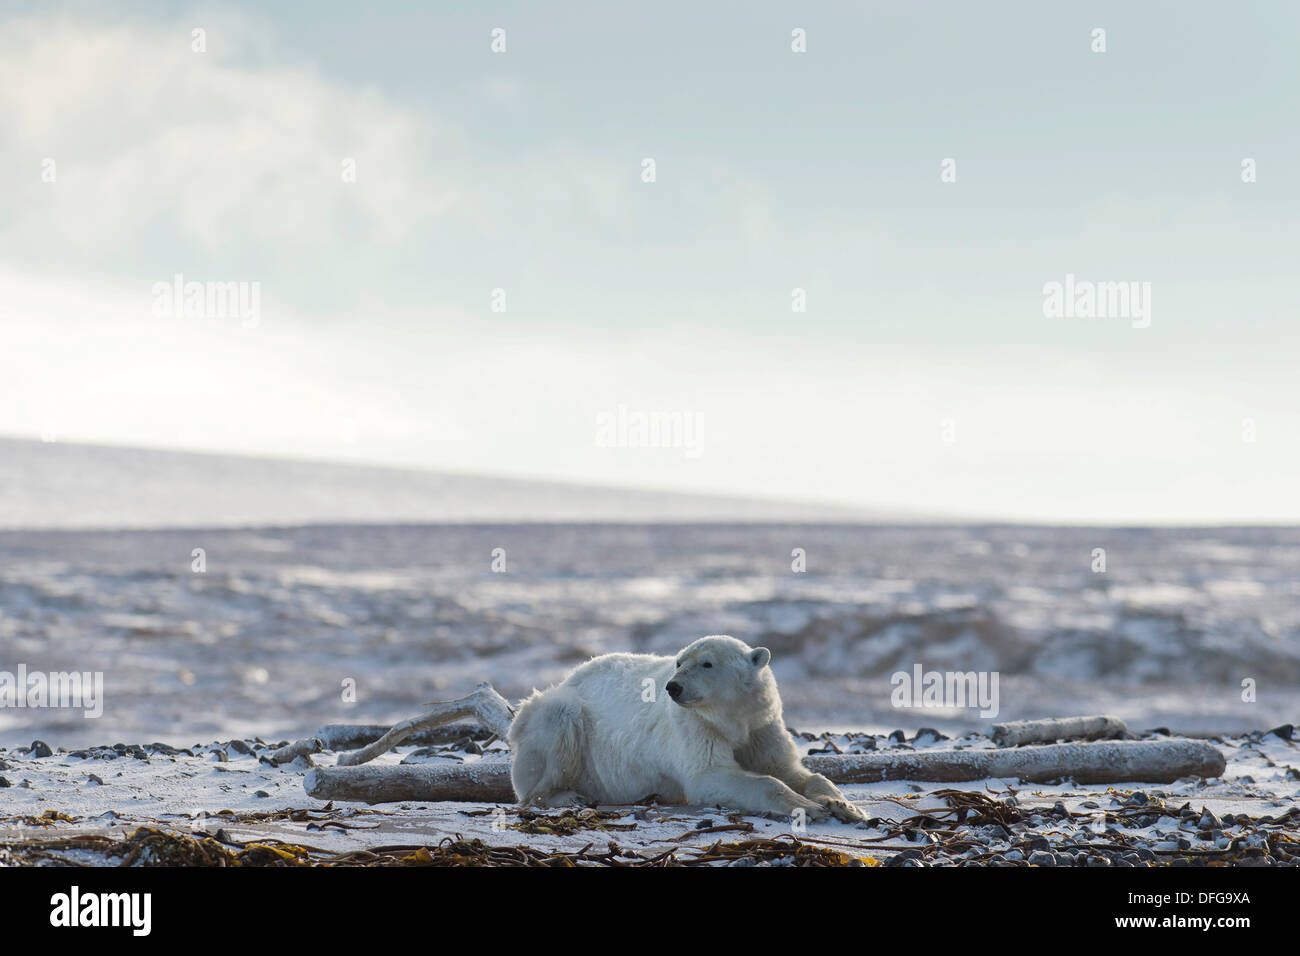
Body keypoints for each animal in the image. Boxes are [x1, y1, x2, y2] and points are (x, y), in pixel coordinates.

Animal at [504, 634, 863, 822]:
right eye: (679, 661)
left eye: (707, 663)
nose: (673, 687)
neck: (733, 718)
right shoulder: (695, 727)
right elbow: (711, 775)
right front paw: (810, 808)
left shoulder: (762, 725)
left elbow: (786, 768)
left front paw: (844, 806)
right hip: (559, 719)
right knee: (553, 736)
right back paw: (566, 795)